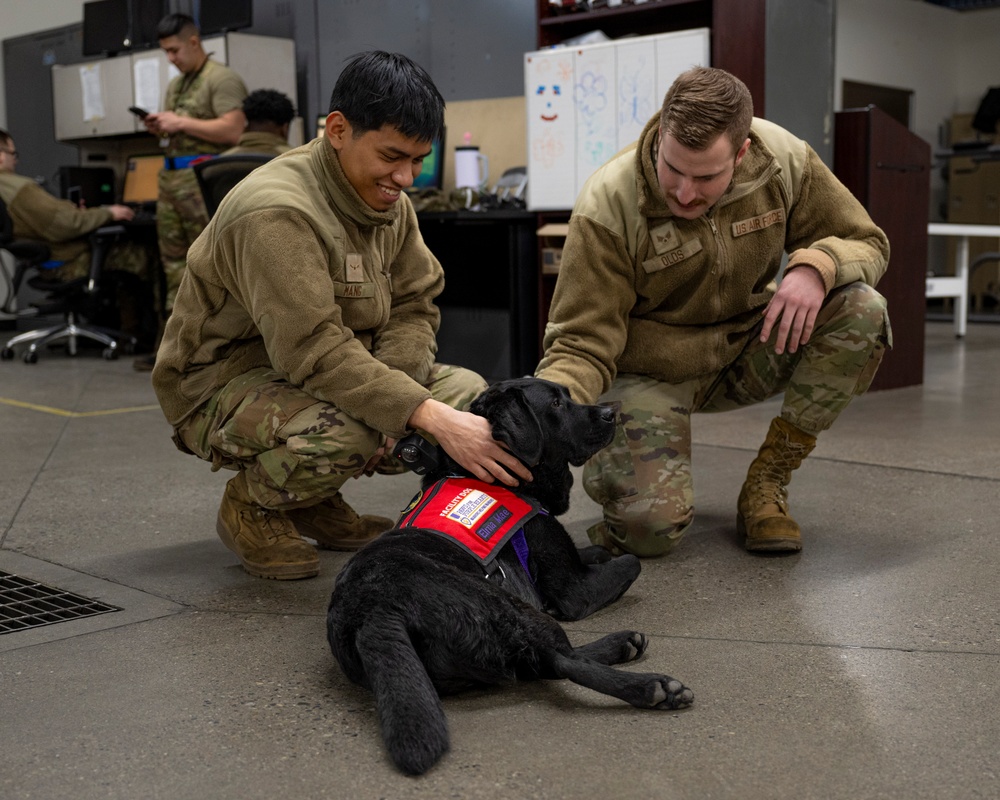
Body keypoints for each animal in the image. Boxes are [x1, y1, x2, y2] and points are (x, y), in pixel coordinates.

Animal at [324, 378, 692, 780]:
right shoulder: (574, 591)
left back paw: (624, 646)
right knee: (559, 661)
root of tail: (374, 611)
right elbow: (629, 562)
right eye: (556, 403)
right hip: (502, 605)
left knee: (539, 663)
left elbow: (591, 552)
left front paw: (595, 552)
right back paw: (652, 685)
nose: (611, 412)